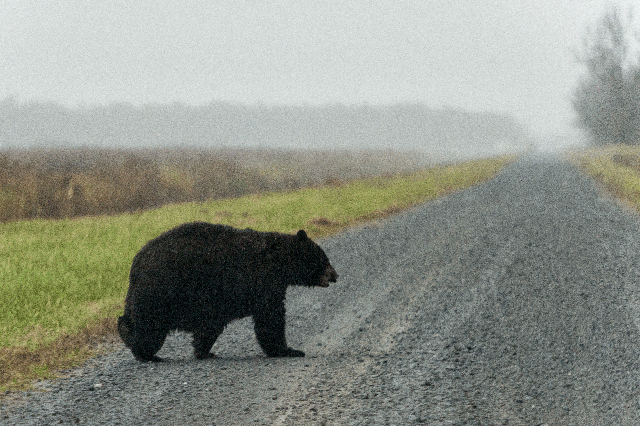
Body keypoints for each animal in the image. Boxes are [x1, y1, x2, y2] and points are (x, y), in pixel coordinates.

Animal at [117, 222, 338, 362]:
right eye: (324, 258)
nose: (335, 275)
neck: (279, 263)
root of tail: (135, 263)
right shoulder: (262, 282)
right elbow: (270, 318)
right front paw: (289, 350)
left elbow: (210, 327)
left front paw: (204, 351)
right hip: (160, 292)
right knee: (148, 329)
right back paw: (147, 354)